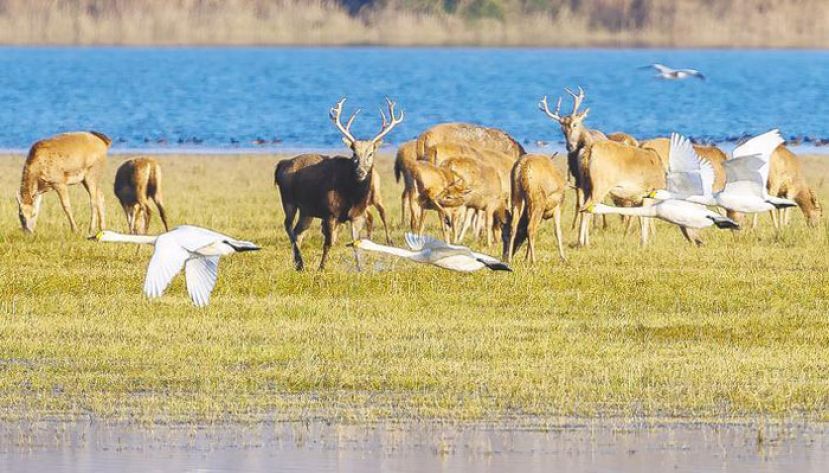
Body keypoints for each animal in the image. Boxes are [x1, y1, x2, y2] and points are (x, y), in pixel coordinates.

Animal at [275, 97, 403, 271]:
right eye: (354, 154)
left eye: (370, 154)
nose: (360, 172)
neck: (351, 196)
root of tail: (281, 165)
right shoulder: (330, 212)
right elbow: (328, 243)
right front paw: (321, 268)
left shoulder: (356, 215)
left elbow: (356, 243)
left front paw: (360, 269)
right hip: (288, 200)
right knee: (288, 226)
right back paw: (300, 262)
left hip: (307, 210)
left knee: (298, 232)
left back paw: (298, 264)